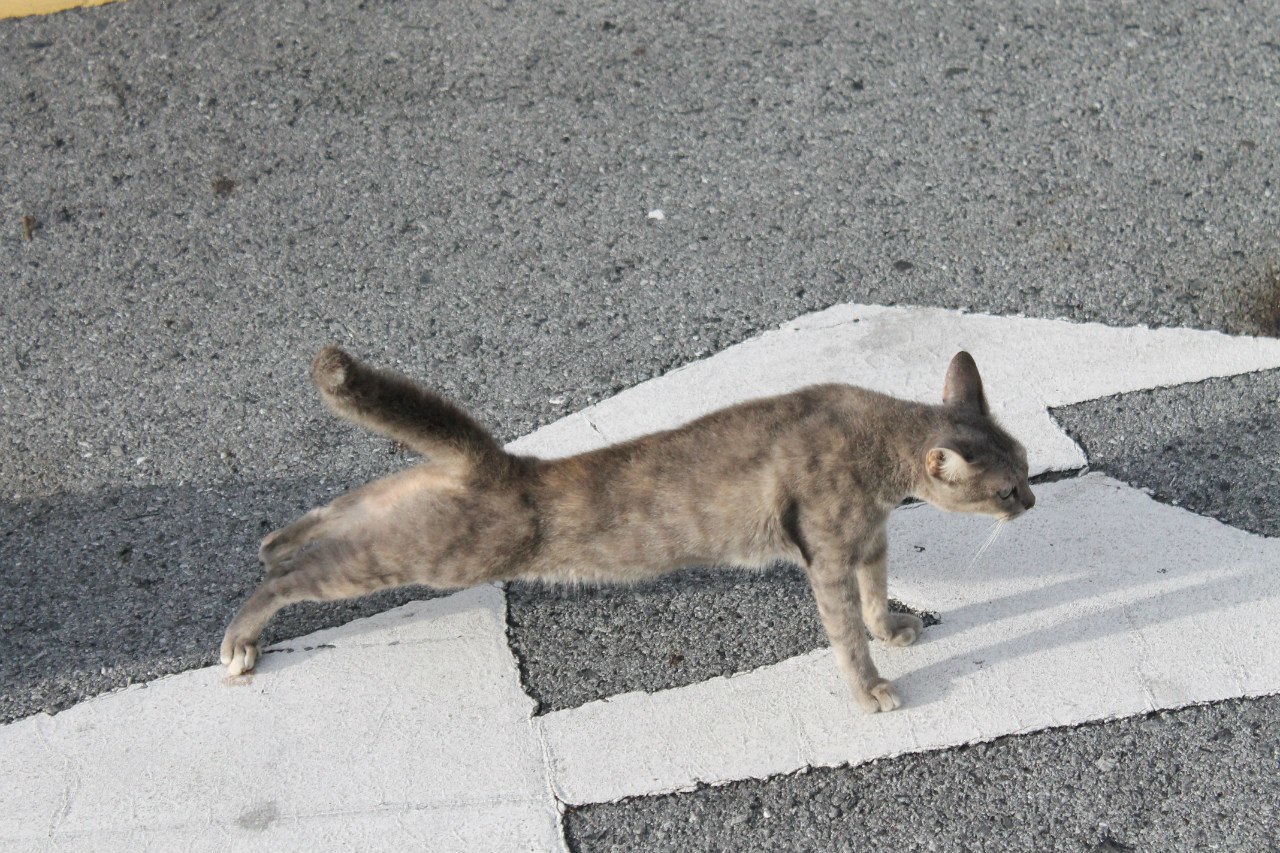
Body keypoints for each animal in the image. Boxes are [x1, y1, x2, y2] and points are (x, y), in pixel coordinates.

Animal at [222, 345, 1029, 712]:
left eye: (1025, 462)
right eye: (1005, 486)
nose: (1030, 503)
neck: (875, 438)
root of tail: (498, 463)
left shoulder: (870, 541)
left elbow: (874, 597)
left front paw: (892, 627)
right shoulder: (829, 554)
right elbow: (846, 634)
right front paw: (872, 687)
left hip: (416, 509)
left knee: (350, 502)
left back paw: (276, 535)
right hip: (430, 555)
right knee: (297, 576)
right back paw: (241, 636)